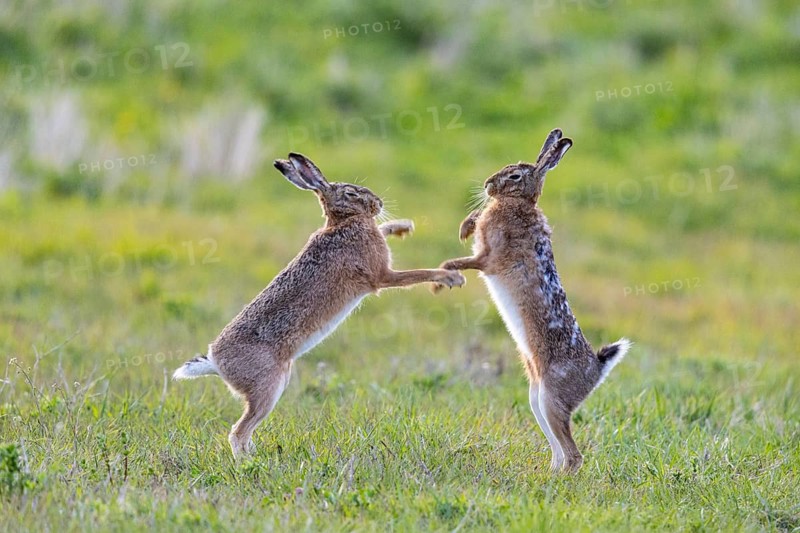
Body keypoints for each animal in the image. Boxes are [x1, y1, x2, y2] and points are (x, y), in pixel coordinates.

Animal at [173, 152, 466, 458]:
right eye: (351, 193)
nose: (379, 203)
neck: (342, 222)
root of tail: (216, 362)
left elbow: (384, 231)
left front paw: (403, 226)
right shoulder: (382, 276)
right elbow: (416, 274)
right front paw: (452, 277)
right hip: (267, 388)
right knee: (238, 432)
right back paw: (248, 463)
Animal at [434, 129, 630, 472]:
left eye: (515, 176)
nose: (488, 184)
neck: (519, 203)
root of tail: (596, 370)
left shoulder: (490, 257)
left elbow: (471, 261)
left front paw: (444, 272)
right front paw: (465, 226)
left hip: (551, 399)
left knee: (574, 455)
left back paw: (558, 478)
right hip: (536, 398)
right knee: (559, 449)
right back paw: (548, 472)